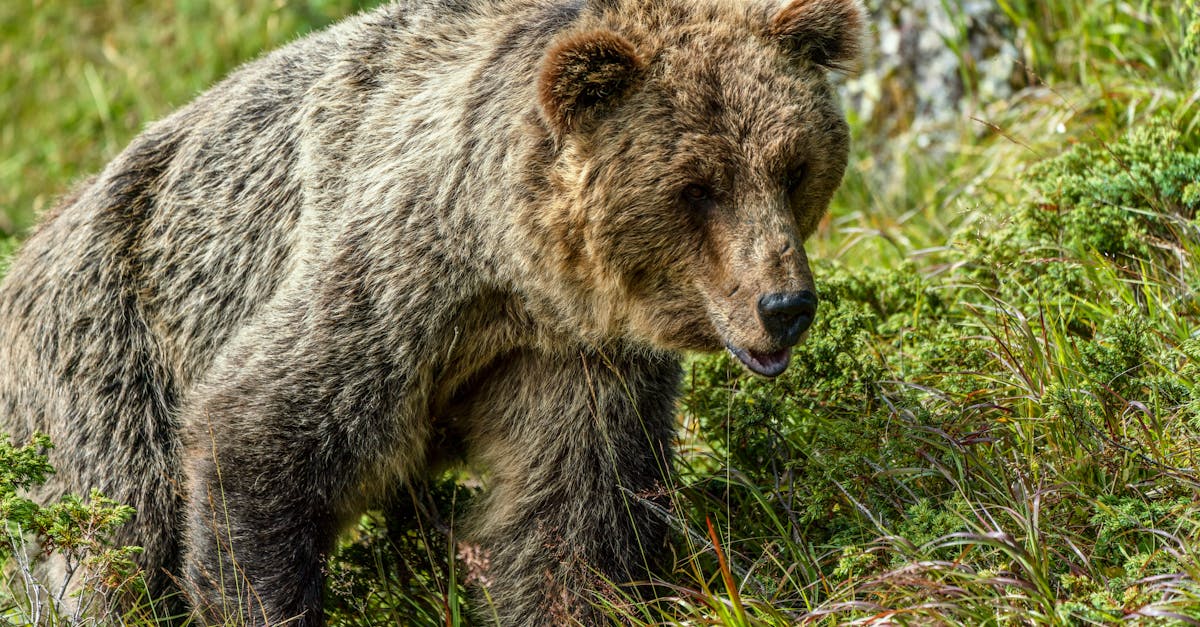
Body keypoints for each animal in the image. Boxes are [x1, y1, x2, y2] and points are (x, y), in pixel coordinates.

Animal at [0, 0, 864, 624]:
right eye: (696, 185)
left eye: (792, 167)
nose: (784, 304)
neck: (509, 273)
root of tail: (34, 241)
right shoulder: (387, 284)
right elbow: (258, 433)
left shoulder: (572, 361)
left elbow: (573, 518)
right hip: (107, 361)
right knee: (113, 540)